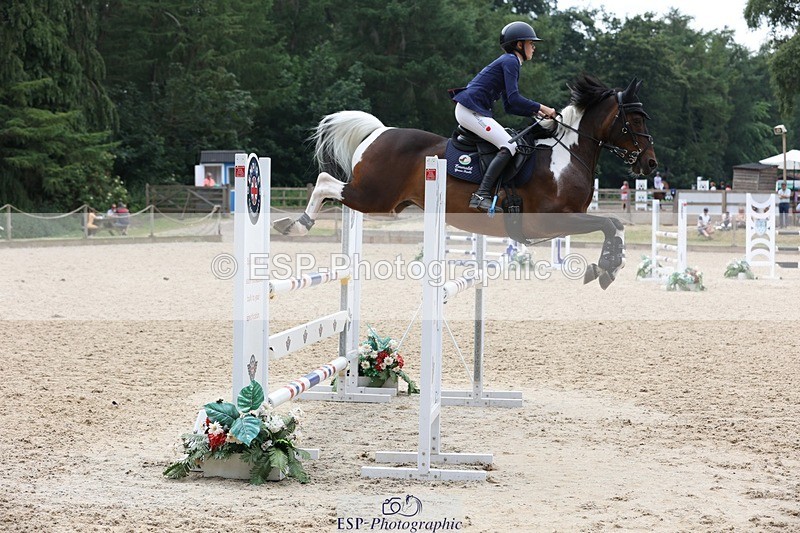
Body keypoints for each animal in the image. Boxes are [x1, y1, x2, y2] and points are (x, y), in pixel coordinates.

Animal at [273, 74, 658, 288]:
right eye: (636, 120)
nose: (650, 163)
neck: (567, 155)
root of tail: (380, 132)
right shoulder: (549, 220)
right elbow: (609, 222)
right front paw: (607, 267)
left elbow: (615, 223)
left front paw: (609, 266)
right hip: (373, 197)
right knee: (325, 181)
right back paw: (295, 224)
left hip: (382, 201)